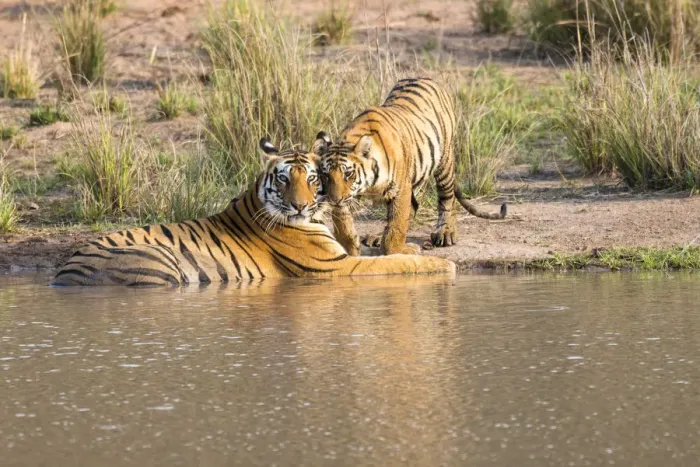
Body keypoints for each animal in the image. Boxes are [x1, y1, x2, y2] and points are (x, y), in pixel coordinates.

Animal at [51, 137, 455, 286]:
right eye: (284, 179)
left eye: (312, 178)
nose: (301, 205)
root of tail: (64, 272)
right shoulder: (335, 267)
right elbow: (391, 263)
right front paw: (443, 264)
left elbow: (384, 254)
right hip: (160, 266)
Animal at [316, 77, 507, 257]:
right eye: (326, 175)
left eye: (348, 174)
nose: (333, 199)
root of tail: (426, 78)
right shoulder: (346, 197)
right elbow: (343, 226)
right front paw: (349, 250)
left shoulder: (400, 188)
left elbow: (397, 224)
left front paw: (397, 250)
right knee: (412, 207)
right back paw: (378, 236)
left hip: (444, 162)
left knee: (447, 198)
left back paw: (446, 232)